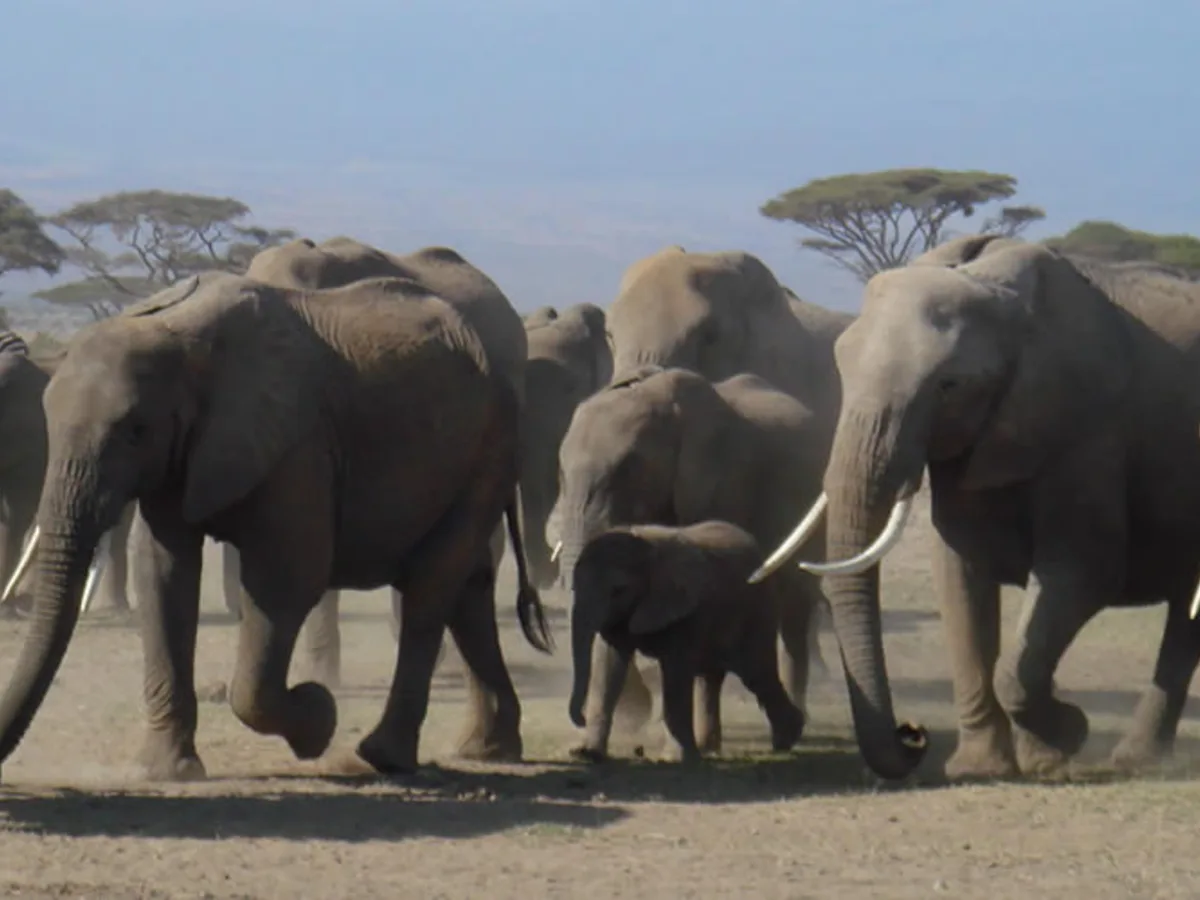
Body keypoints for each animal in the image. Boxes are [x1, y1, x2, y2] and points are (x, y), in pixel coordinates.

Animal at [568, 520, 807, 763]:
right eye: (573, 586)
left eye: (618, 590)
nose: (581, 717)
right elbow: (607, 667)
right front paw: (586, 753)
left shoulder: (684, 610)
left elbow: (675, 673)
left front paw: (674, 759)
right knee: (711, 678)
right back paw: (707, 748)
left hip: (758, 609)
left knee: (757, 672)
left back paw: (787, 739)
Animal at [755, 233, 1200, 781]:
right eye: (841, 367)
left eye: (949, 387)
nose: (913, 733)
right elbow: (960, 580)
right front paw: (982, 768)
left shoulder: (1088, 433)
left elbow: (1084, 574)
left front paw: (1062, 741)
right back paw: (1137, 760)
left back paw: (1133, 761)